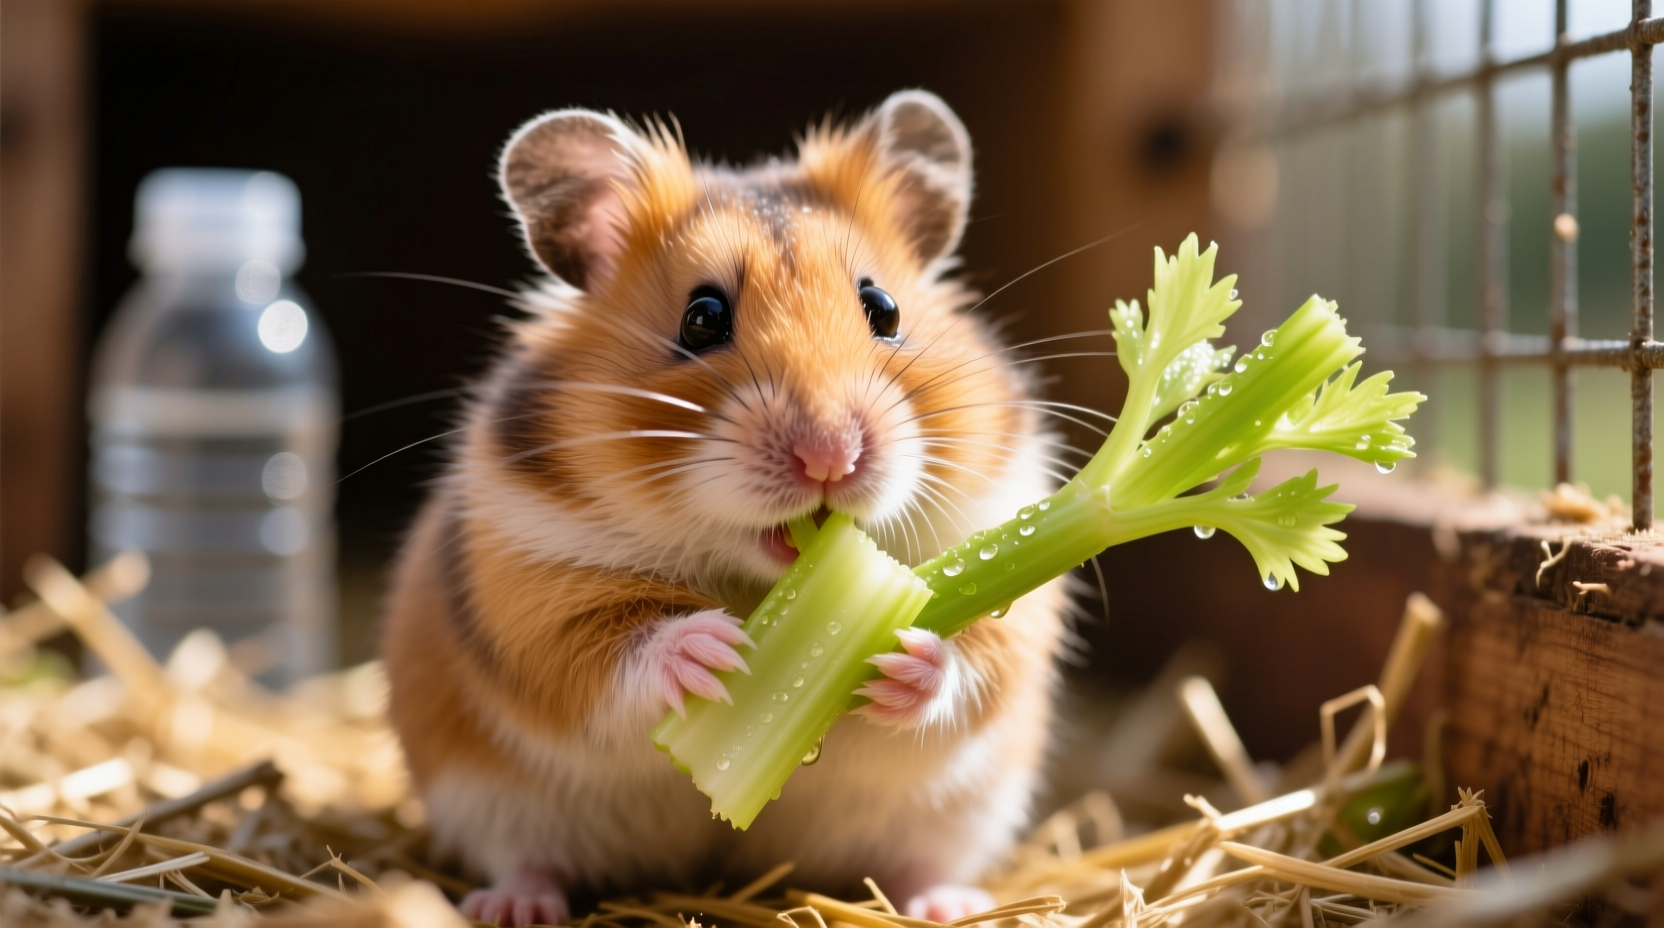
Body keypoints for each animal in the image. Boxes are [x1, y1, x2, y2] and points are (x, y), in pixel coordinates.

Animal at [381, 90, 1069, 927]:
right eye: (702, 318)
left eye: (884, 309)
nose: (830, 455)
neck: (751, 575)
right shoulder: (528, 583)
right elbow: (605, 650)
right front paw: (715, 652)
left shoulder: (1007, 556)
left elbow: (975, 660)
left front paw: (901, 657)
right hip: (488, 796)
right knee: (527, 858)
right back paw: (514, 906)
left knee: (921, 861)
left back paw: (944, 903)